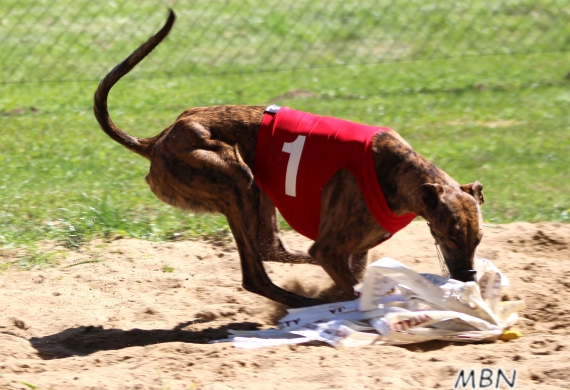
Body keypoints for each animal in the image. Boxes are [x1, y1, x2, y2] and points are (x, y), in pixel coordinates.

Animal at [94, 9, 484, 308]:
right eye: (450, 235)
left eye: (479, 239)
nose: (468, 277)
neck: (398, 170)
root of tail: (157, 139)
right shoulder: (331, 249)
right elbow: (348, 282)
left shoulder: (355, 248)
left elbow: (353, 273)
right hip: (235, 179)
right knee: (256, 272)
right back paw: (299, 301)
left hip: (259, 193)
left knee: (270, 248)